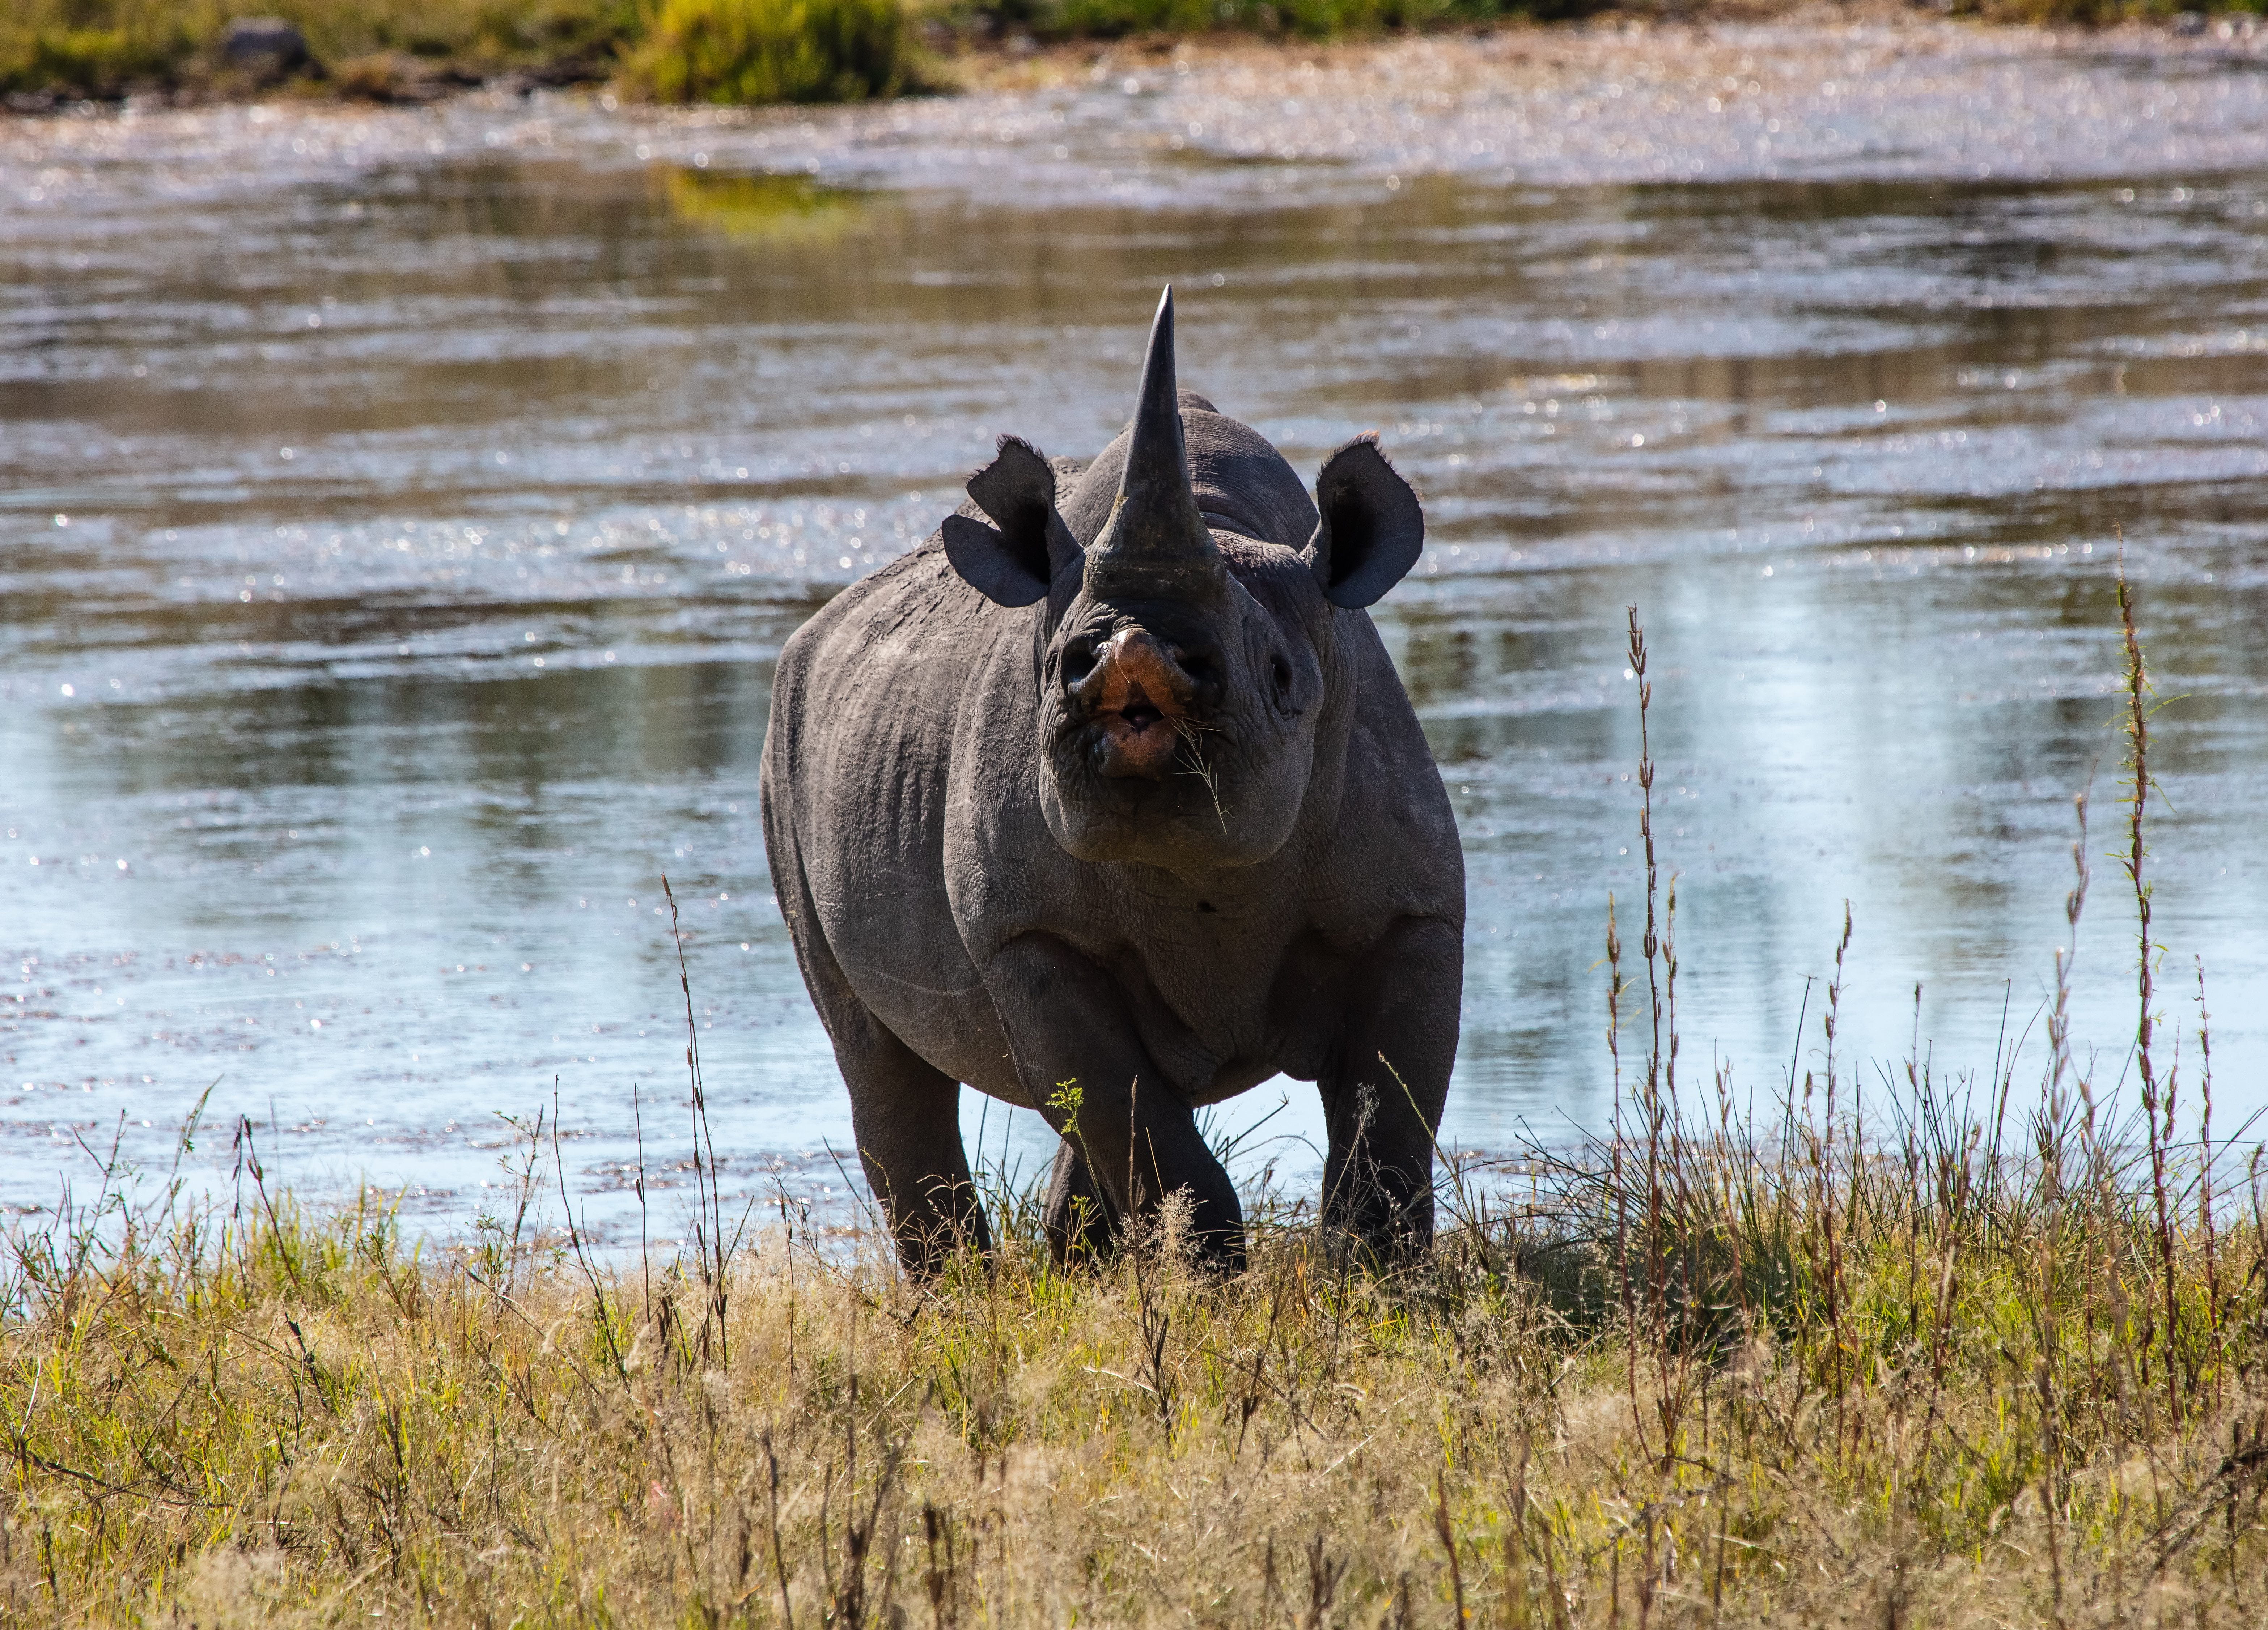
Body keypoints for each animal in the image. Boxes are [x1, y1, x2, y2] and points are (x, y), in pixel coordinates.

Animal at [760, 289, 1464, 1273]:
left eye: (1281, 675)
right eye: (1061, 662)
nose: (1128, 653)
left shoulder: (1412, 911)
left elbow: (1387, 1122)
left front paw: (1370, 1283)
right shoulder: (1027, 936)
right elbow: (1138, 1128)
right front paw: (1209, 1286)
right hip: (782, 750)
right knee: (885, 1068)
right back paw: (963, 1294)